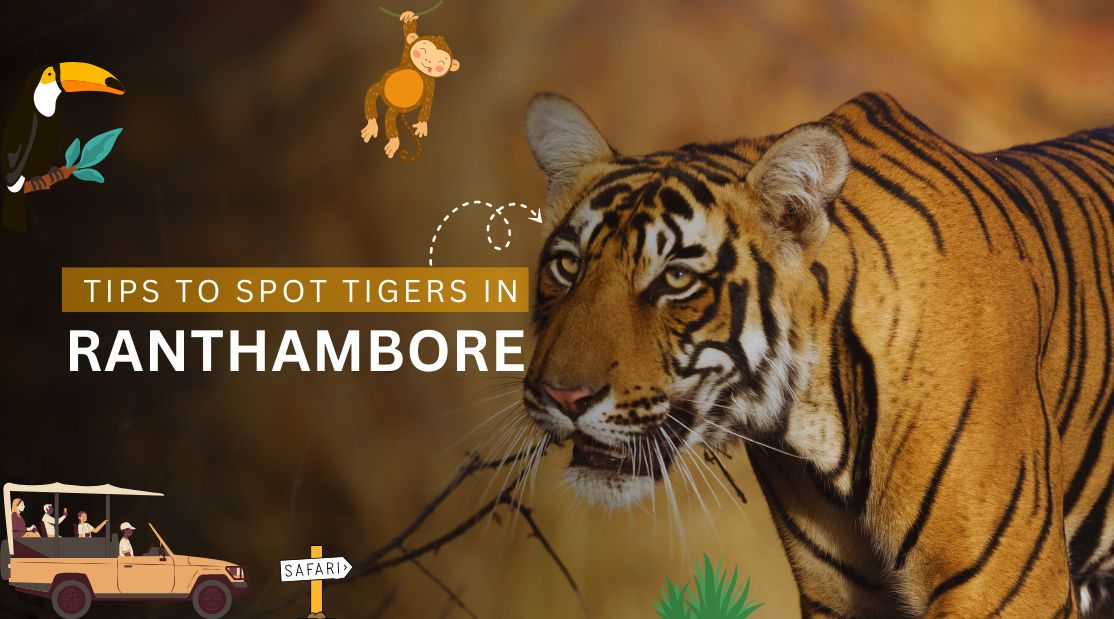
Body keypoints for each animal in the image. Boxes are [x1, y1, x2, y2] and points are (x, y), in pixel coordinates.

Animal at [519, 91, 1114, 617]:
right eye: (568, 266)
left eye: (677, 278)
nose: (562, 396)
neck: (817, 419)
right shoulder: (841, 594)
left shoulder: (1005, 590)